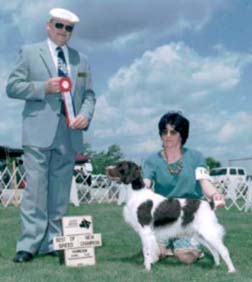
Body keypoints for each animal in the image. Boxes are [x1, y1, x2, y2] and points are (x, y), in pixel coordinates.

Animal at [107, 161, 236, 274]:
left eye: (120, 166)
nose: (106, 168)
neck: (136, 193)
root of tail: (210, 204)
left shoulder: (146, 231)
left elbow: (147, 252)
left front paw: (147, 269)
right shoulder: (145, 233)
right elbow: (145, 250)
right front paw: (147, 265)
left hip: (208, 232)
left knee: (223, 250)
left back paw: (231, 270)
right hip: (201, 235)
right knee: (214, 250)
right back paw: (216, 266)